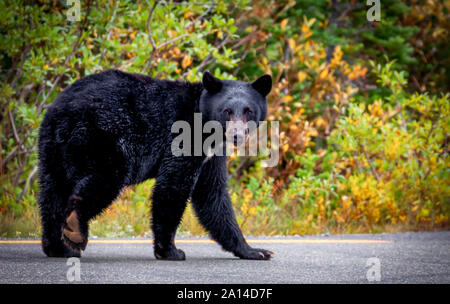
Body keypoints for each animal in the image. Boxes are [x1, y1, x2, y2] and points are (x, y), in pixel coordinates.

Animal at [37, 70, 274, 260]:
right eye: (227, 111)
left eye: (248, 110)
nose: (236, 135)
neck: (205, 124)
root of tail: (63, 109)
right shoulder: (184, 139)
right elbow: (173, 187)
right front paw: (170, 251)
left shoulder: (211, 155)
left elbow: (212, 195)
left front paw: (254, 250)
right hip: (103, 137)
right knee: (104, 180)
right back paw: (75, 229)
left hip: (51, 147)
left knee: (52, 194)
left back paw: (59, 247)